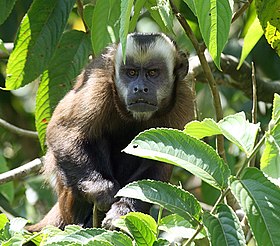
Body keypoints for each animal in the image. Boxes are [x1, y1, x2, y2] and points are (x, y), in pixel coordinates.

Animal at [27, 32, 195, 231]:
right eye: (131, 72)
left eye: (153, 72)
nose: (140, 88)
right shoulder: (98, 83)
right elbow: (63, 130)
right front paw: (101, 191)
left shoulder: (183, 101)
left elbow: (160, 161)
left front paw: (123, 210)